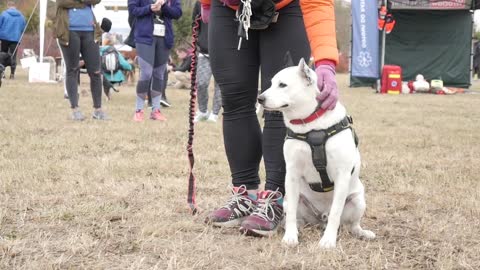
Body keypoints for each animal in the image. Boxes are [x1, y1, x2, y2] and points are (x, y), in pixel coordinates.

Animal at [258, 59, 376, 249]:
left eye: (282, 85)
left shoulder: (342, 175)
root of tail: (321, 218)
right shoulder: (292, 174)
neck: (310, 124)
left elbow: (336, 213)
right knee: (296, 216)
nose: (260, 99)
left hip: (358, 200)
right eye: (271, 83)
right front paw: (290, 237)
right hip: (293, 199)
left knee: (350, 224)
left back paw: (362, 232)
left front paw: (328, 240)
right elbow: (291, 213)